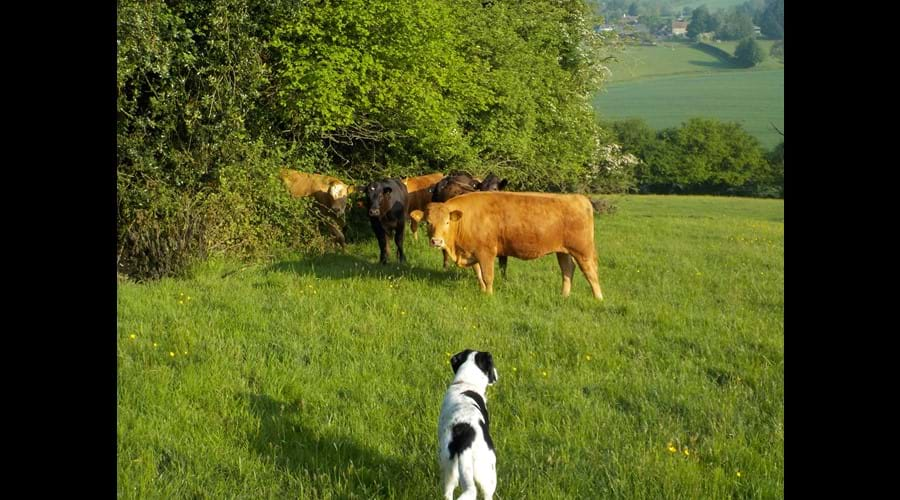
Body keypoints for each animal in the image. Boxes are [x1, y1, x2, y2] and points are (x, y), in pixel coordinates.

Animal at [412, 191, 600, 300]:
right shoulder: (472, 252)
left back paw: (598, 298)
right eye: (428, 222)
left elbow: (488, 276)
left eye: (447, 222)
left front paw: (489, 295)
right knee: (567, 270)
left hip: (583, 250)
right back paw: (564, 296)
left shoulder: (486, 252)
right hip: (563, 251)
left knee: (591, 272)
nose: (436, 241)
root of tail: (578, 198)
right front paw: (482, 291)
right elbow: (478, 274)